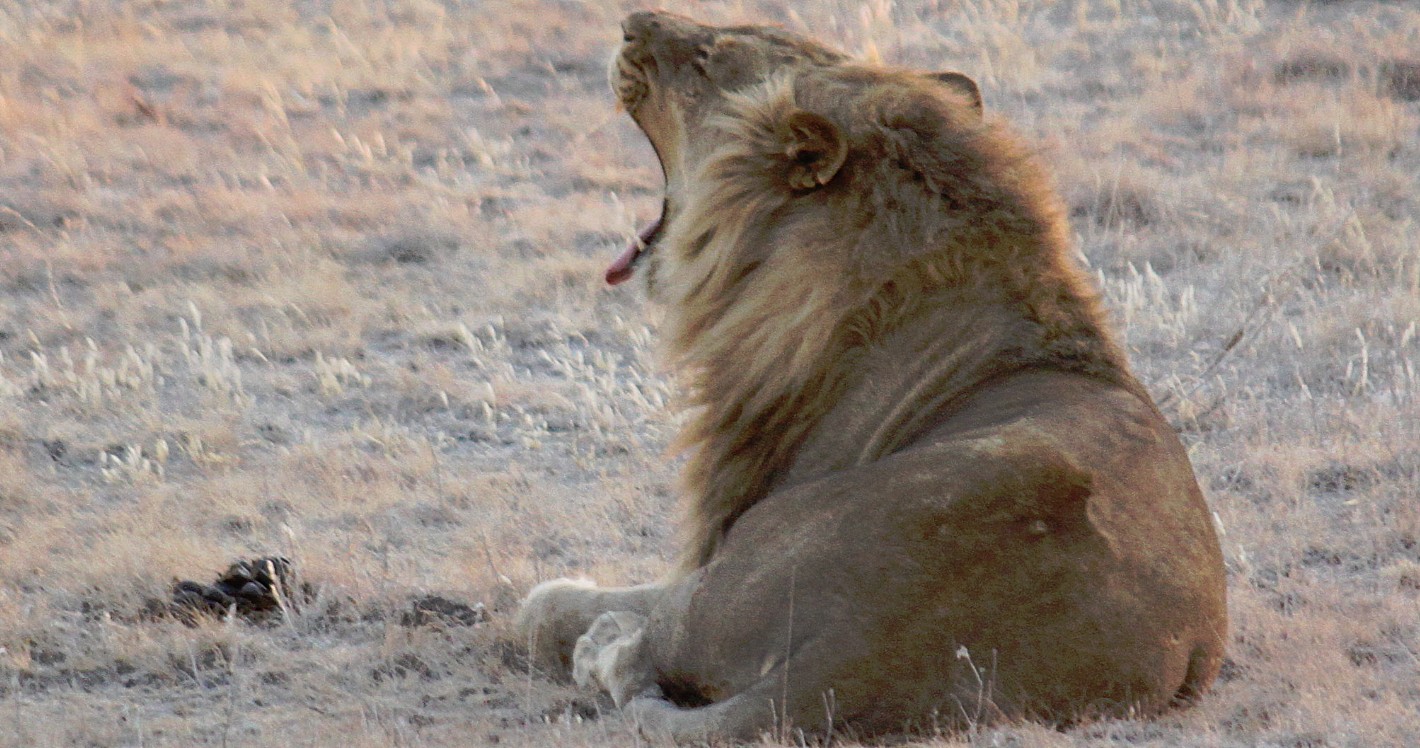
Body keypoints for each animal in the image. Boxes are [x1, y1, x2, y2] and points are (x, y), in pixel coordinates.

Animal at [516, 10, 1226, 743]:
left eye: (708, 58)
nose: (634, 21)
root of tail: (862, 648)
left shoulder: (710, 542)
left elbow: (547, 607)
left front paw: (571, 603)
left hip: (738, 562)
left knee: (635, 641)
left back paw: (602, 642)